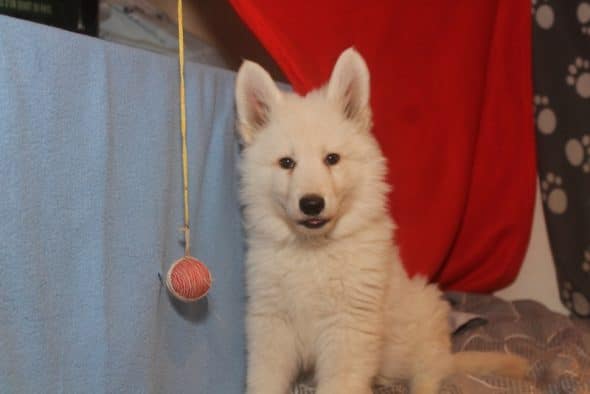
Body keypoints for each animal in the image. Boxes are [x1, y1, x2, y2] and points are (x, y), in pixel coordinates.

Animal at [234, 47, 528, 392]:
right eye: (286, 163)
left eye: (332, 159)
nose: (312, 204)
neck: (314, 251)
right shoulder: (272, 324)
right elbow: (264, 379)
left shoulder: (347, 331)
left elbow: (340, 383)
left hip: (427, 325)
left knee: (431, 375)